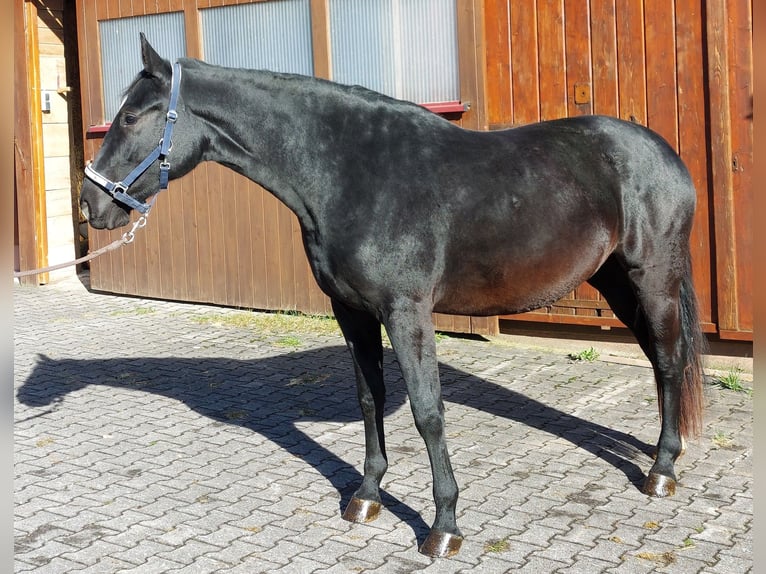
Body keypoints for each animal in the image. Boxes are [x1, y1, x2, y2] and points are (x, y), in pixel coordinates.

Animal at [80, 35, 706, 558]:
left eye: (131, 116)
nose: (91, 203)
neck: (351, 172)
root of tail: (663, 153)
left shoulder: (406, 314)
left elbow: (429, 412)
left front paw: (444, 527)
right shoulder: (352, 313)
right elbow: (369, 400)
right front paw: (366, 496)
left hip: (652, 278)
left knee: (669, 360)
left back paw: (662, 471)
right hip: (616, 283)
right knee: (659, 361)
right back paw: (658, 456)